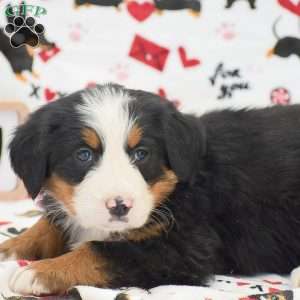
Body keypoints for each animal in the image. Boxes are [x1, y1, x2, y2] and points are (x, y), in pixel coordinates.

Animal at [1, 83, 300, 294]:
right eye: (83, 155)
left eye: (141, 154)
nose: (120, 206)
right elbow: (47, 225)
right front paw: (10, 248)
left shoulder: (184, 248)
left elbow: (100, 251)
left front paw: (41, 272)